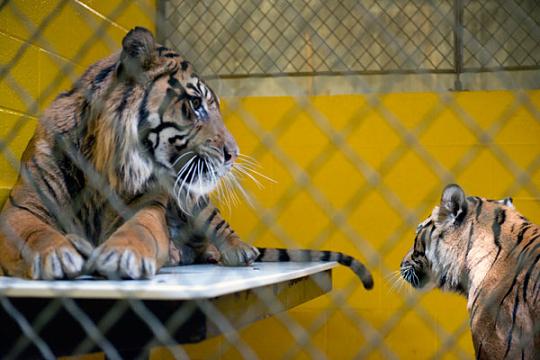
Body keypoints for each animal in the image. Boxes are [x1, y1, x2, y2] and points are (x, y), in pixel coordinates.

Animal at [0, 26, 372, 288]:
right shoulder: (21, 208)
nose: (233, 155)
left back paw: (236, 250)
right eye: (195, 104)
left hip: (192, 196)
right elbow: (35, 233)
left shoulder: (147, 205)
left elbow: (140, 231)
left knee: (217, 226)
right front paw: (59, 253)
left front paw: (122, 255)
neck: (101, 164)